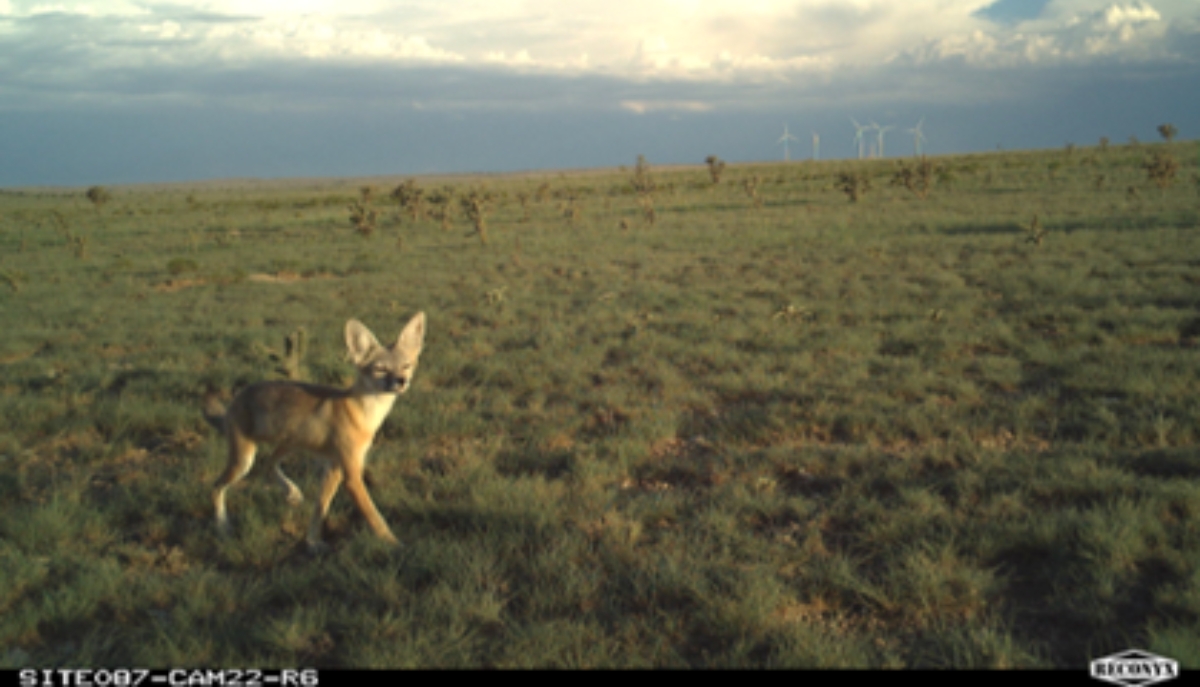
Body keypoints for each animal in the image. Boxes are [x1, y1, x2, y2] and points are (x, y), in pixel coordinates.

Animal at [204, 312, 426, 553]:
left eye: (406, 366)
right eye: (381, 369)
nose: (402, 381)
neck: (362, 413)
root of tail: (238, 396)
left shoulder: (334, 468)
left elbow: (320, 509)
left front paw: (313, 542)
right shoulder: (351, 475)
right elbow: (374, 516)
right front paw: (395, 544)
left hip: (288, 444)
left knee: (268, 464)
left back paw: (290, 491)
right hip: (243, 460)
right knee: (216, 487)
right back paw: (222, 526)